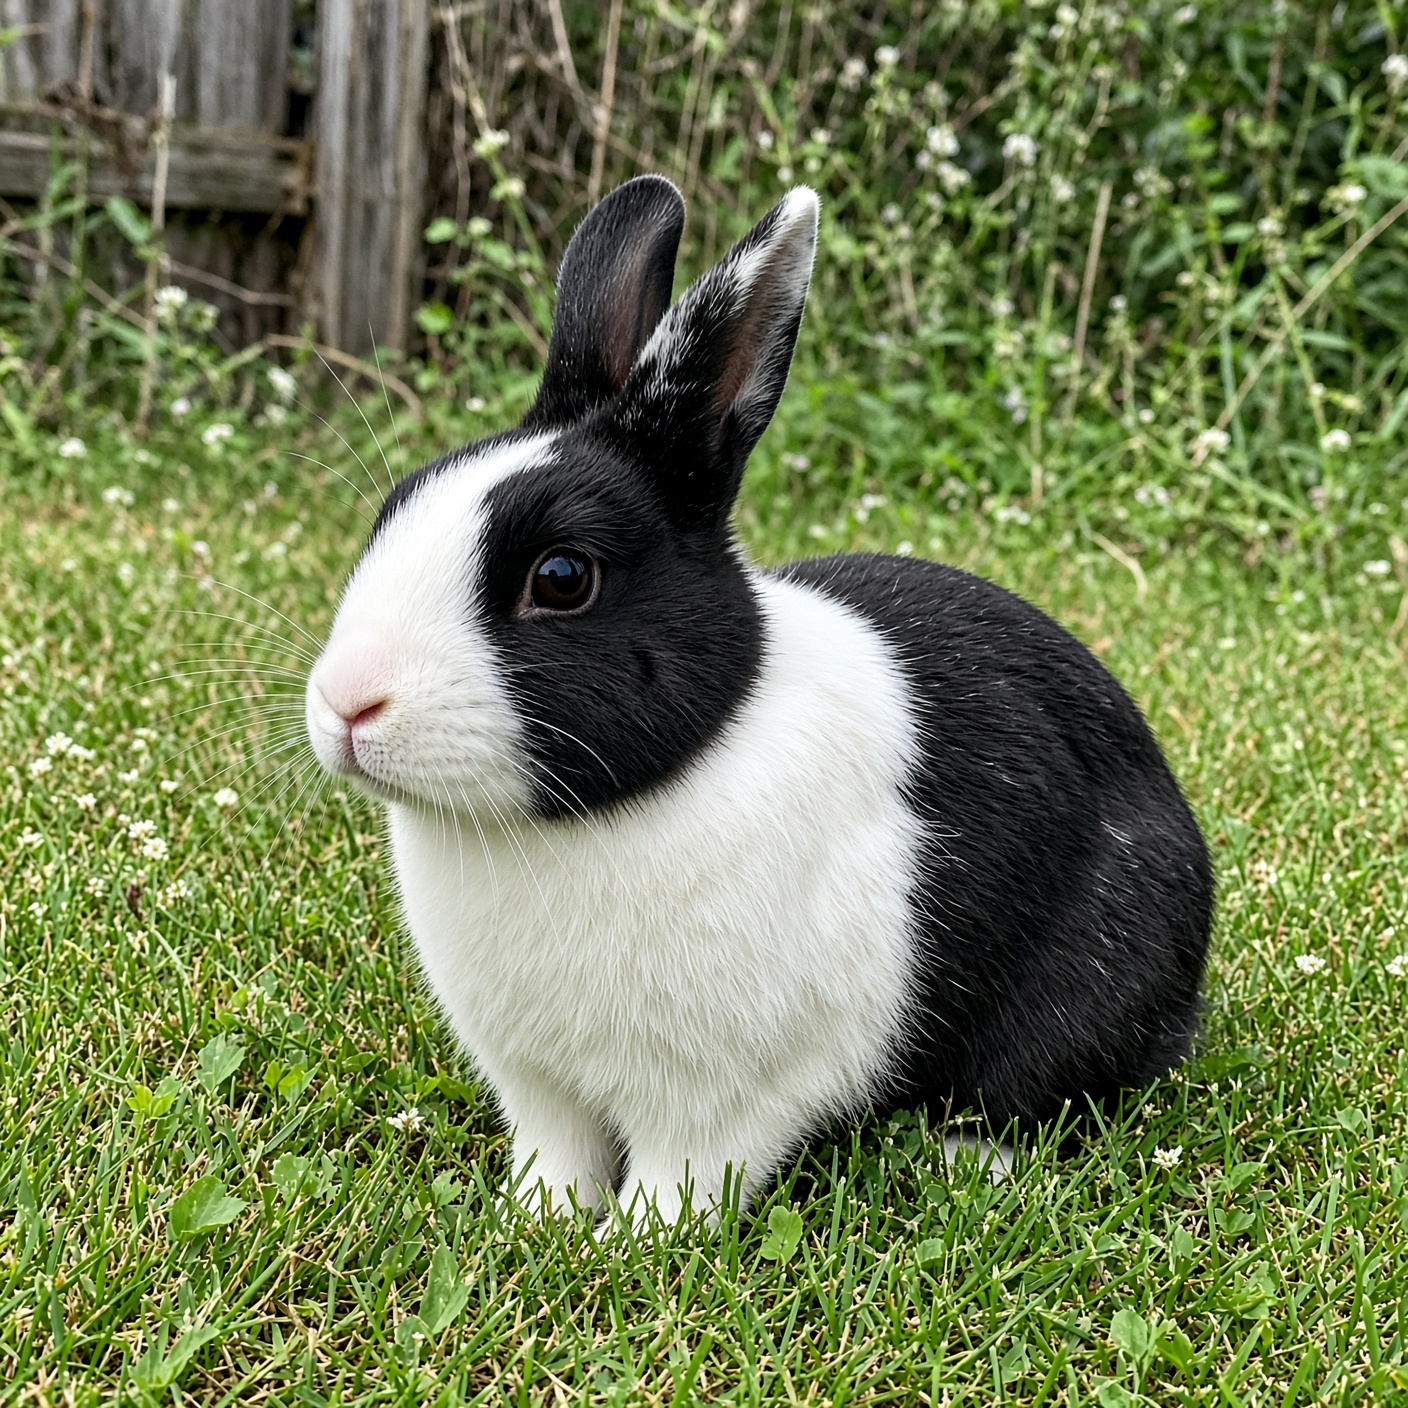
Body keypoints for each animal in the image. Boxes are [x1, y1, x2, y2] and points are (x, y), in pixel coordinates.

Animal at [305, 175, 1213, 1227]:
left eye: (563, 577)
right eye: (395, 509)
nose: (348, 704)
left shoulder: (724, 1098)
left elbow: (684, 1177)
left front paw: (631, 1244)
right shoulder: (540, 1088)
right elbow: (557, 1159)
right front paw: (536, 1223)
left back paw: (963, 1160)